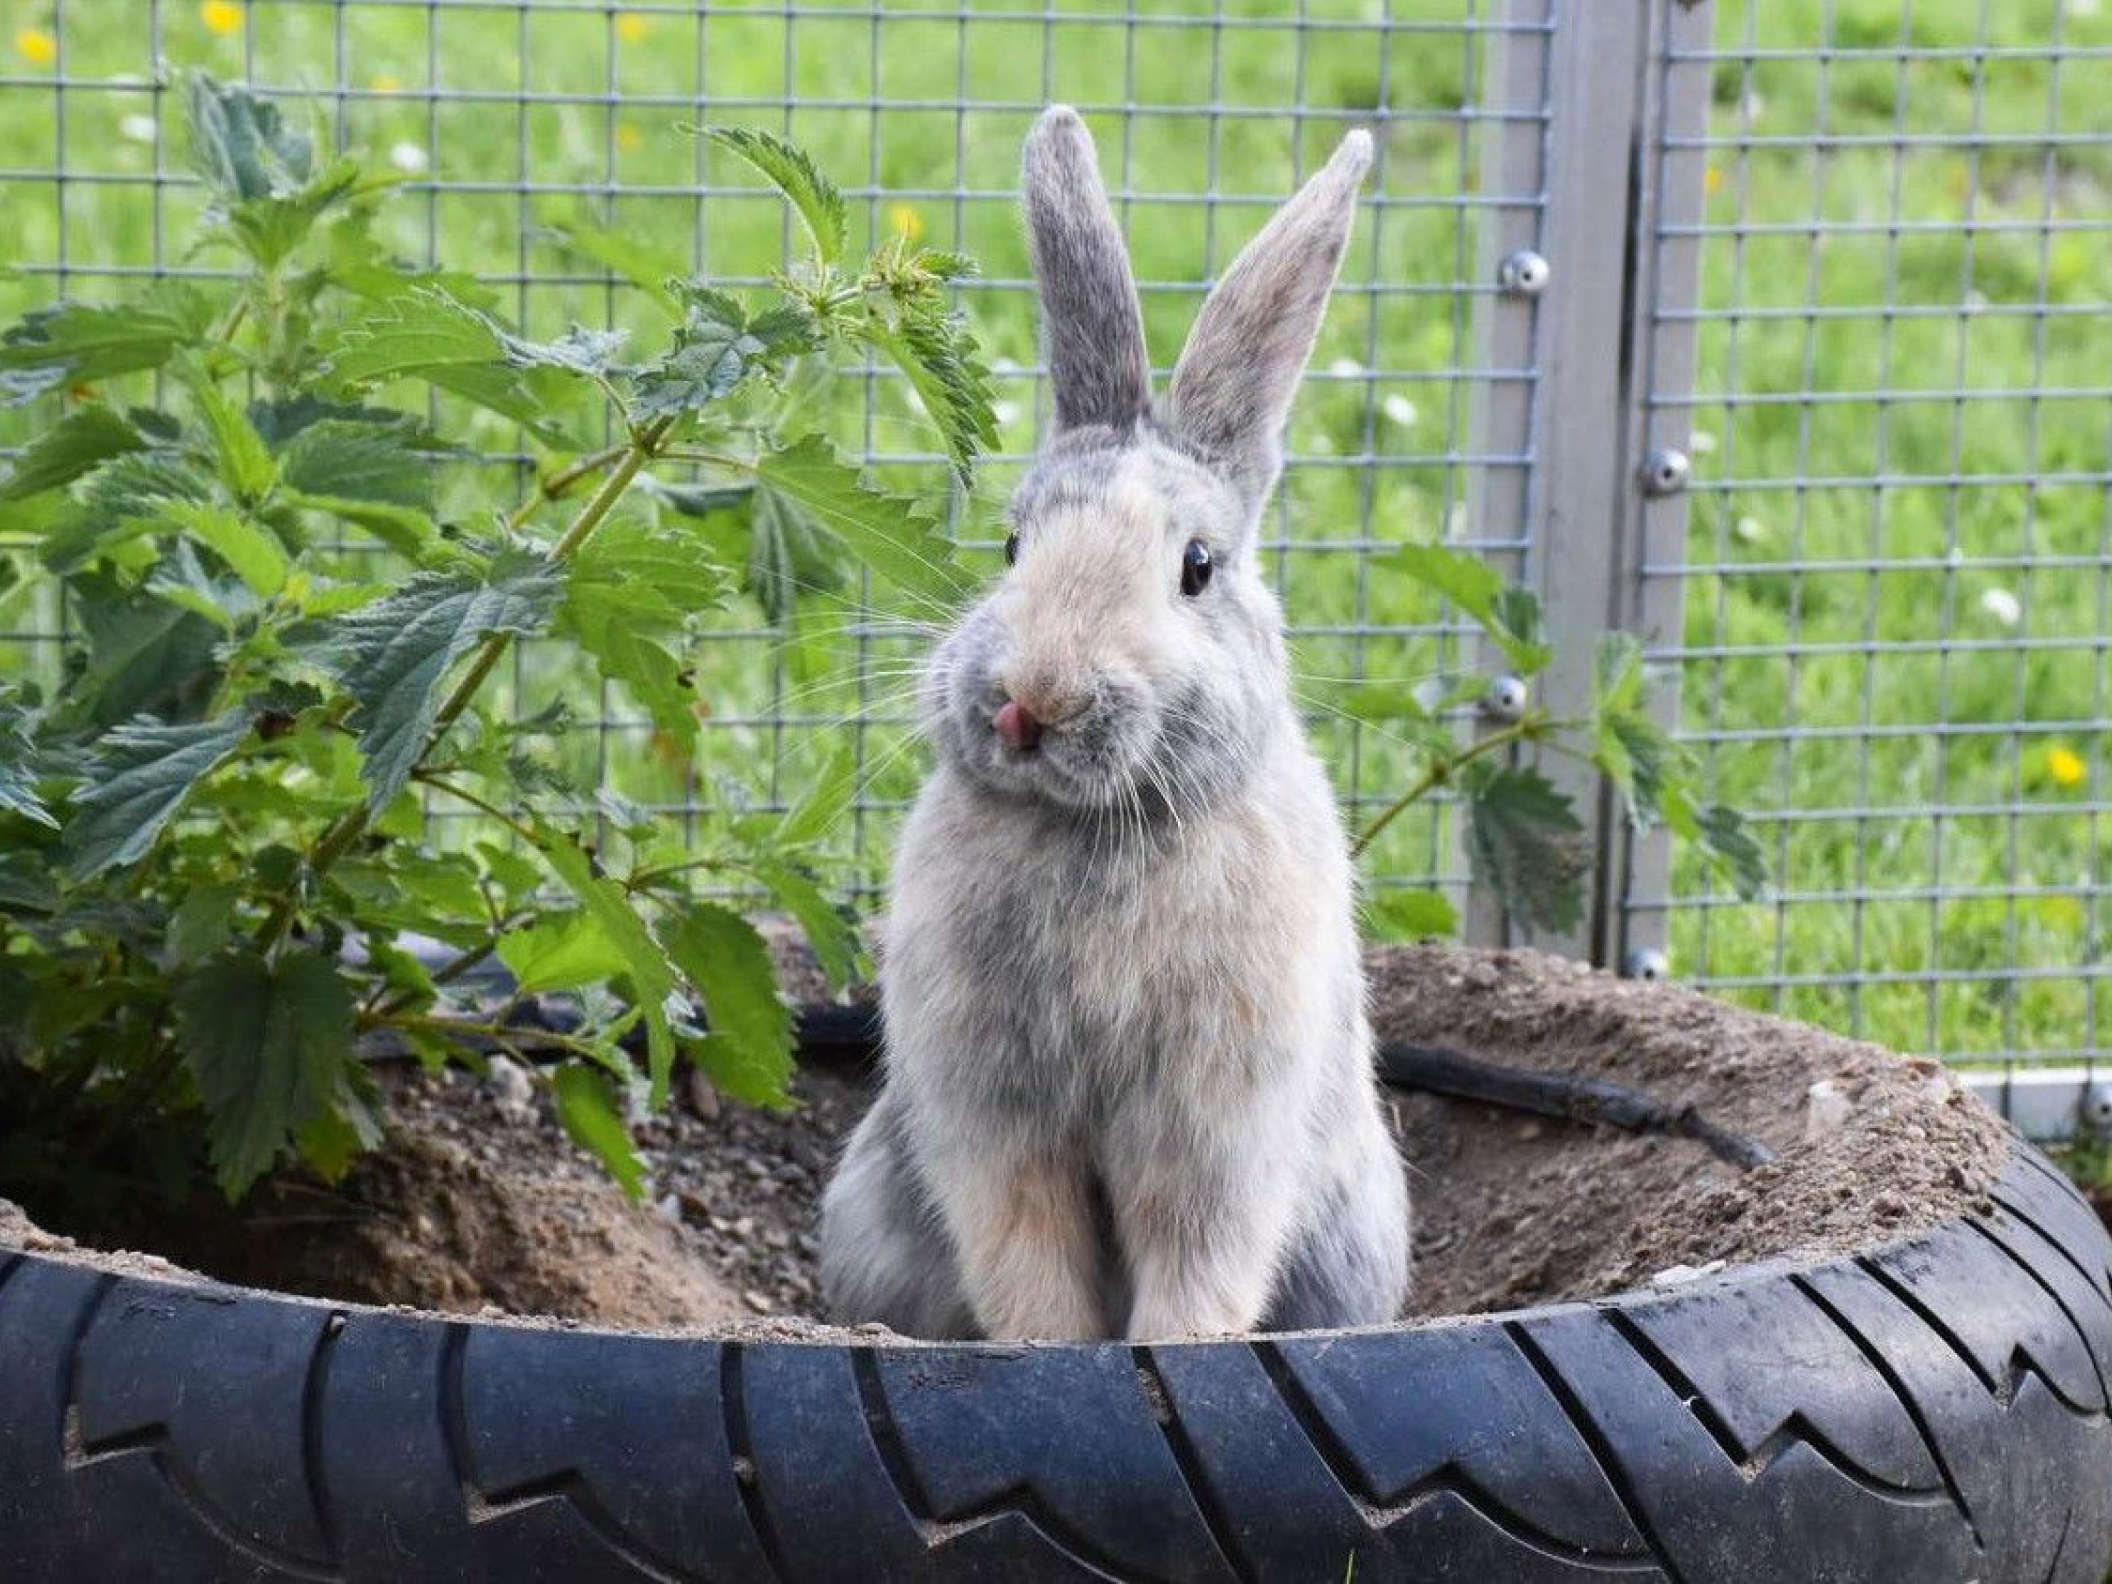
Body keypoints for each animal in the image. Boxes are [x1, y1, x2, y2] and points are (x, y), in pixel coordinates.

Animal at [819, 106, 1409, 1341]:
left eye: (1197, 567)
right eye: (1011, 545)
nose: (1028, 700)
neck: (1092, 828)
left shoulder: (1216, 1135)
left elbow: (1197, 1258)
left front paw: (1175, 1350)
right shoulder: (997, 1126)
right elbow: (1028, 1255)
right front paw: (1049, 1354)